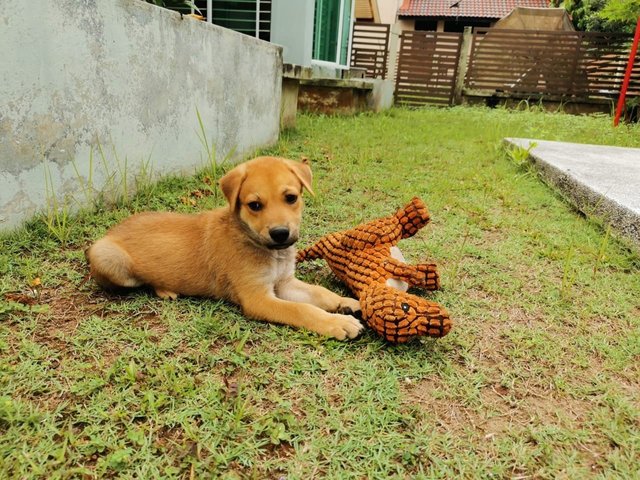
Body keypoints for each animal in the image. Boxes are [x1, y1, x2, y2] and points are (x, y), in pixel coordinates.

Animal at [87, 156, 362, 340]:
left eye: (291, 198)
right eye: (254, 205)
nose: (280, 234)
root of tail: (113, 229)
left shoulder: (285, 283)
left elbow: (319, 293)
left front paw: (345, 302)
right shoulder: (257, 298)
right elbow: (302, 310)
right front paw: (338, 323)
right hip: (106, 257)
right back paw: (164, 289)